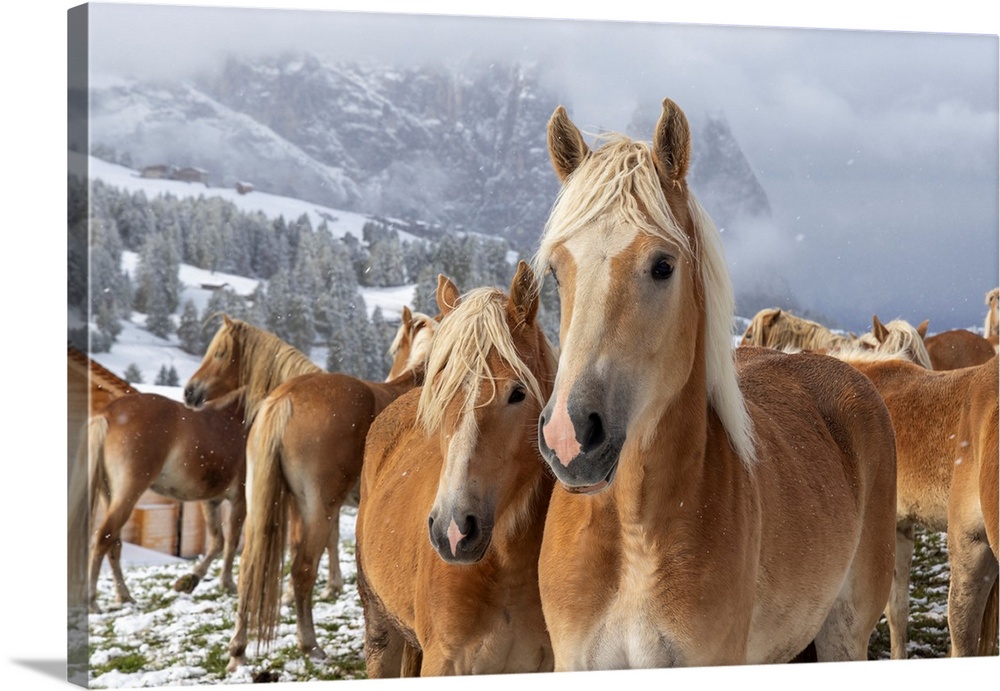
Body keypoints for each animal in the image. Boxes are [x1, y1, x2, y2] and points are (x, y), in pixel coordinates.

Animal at [82, 386, 249, 613]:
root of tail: (108, 413)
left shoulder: (211, 501)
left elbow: (217, 542)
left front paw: (189, 581)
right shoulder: (240, 501)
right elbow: (231, 541)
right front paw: (227, 584)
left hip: (109, 494)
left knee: (114, 542)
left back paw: (124, 596)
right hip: (127, 494)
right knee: (103, 538)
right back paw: (92, 602)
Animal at [222, 297, 440, 671]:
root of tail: (284, 399)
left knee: (248, 568)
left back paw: (238, 649)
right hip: (317, 509)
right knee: (302, 569)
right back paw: (310, 644)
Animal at [355, 260, 557, 677]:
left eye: (518, 393)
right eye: (439, 389)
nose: (453, 529)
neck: (504, 567)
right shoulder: (446, 663)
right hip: (381, 630)